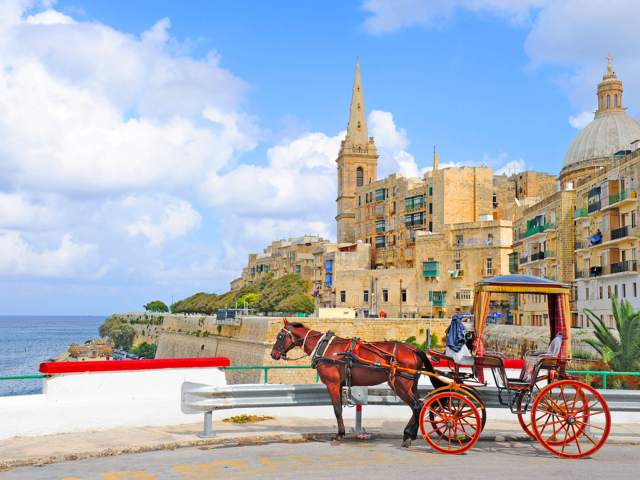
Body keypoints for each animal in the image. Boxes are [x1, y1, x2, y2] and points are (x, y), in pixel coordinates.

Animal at [268, 318, 444, 446]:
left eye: (280, 336)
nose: (273, 354)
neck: (325, 348)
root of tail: (414, 349)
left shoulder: (332, 384)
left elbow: (337, 410)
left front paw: (339, 435)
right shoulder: (339, 385)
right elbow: (339, 409)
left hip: (400, 385)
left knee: (417, 406)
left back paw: (408, 435)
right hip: (410, 384)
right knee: (418, 406)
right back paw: (409, 434)